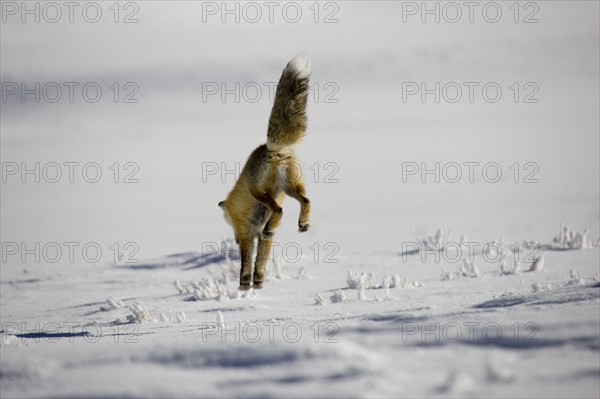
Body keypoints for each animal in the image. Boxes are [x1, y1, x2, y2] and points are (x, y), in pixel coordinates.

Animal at [218, 53, 312, 290]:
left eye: (229, 224)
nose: (233, 239)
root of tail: (272, 148)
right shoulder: (262, 238)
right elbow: (261, 262)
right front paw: (258, 283)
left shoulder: (246, 233)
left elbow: (246, 263)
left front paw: (244, 285)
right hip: (290, 188)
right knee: (306, 201)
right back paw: (303, 223)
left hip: (259, 191)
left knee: (278, 210)